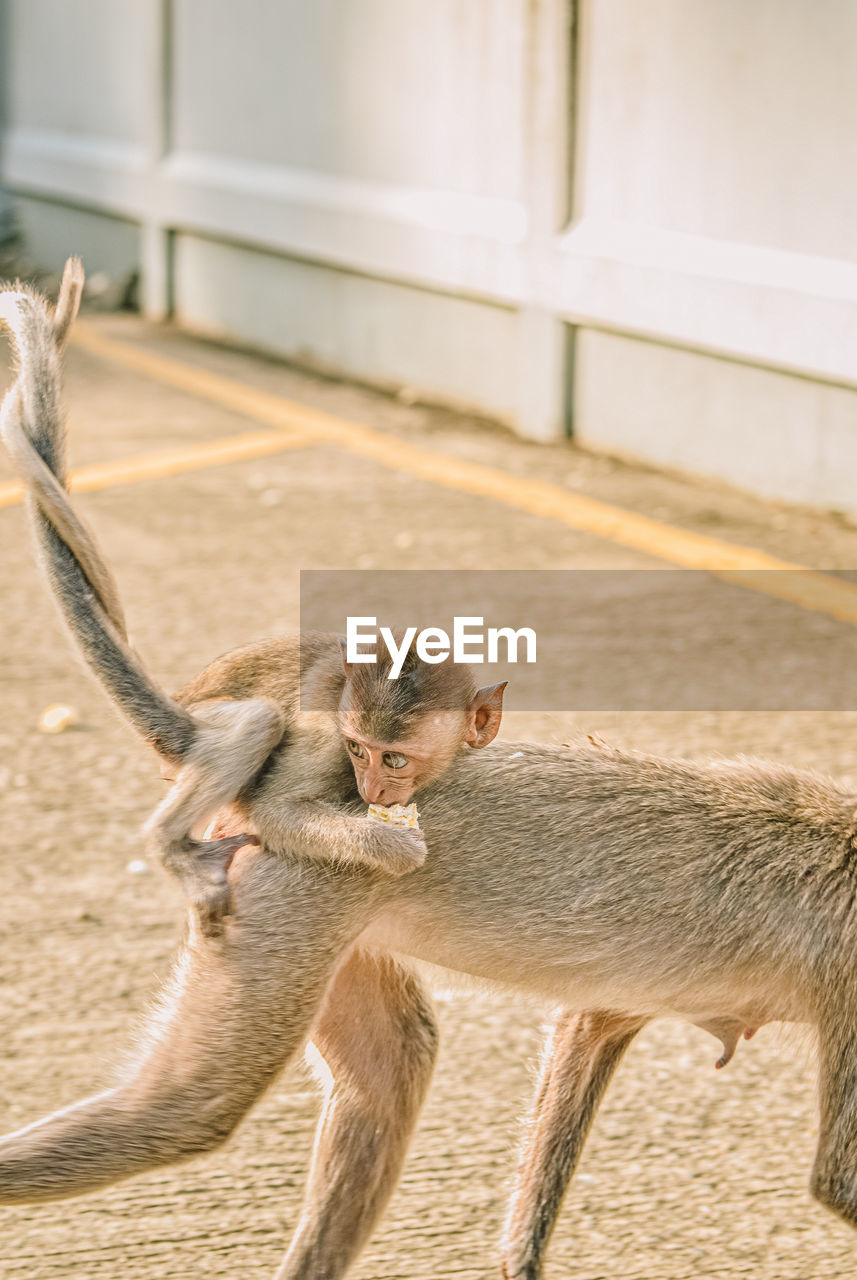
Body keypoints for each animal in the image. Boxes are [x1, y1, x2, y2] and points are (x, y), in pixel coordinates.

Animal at [0, 257, 506, 931]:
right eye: (359, 751)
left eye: (394, 760)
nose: (373, 791)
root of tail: (179, 708)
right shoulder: (326, 737)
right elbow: (276, 811)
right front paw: (390, 845)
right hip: (197, 731)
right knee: (256, 720)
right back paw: (169, 847)